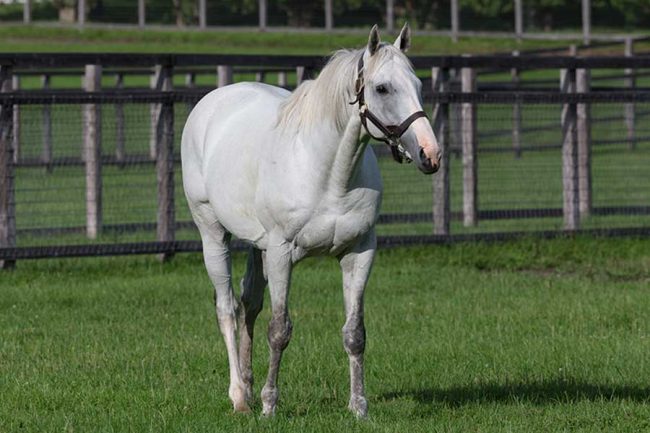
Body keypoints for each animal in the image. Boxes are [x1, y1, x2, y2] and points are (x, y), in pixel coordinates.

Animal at [181, 23, 441, 418]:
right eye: (383, 88)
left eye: (418, 85)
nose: (430, 153)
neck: (329, 175)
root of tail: (214, 100)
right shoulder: (281, 254)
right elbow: (279, 330)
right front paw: (270, 406)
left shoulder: (359, 253)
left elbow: (355, 333)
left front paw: (359, 407)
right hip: (212, 233)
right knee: (227, 308)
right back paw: (240, 396)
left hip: (256, 246)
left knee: (248, 305)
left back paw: (249, 385)